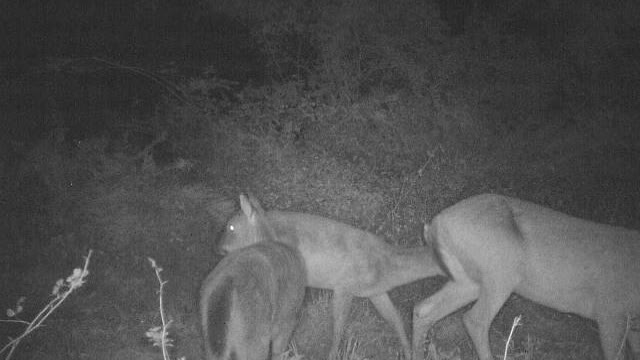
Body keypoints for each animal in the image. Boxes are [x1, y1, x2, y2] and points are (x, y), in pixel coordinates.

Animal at [218, 194, 442, 360]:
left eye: (231, 227)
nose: (220, 248)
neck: (386, 266)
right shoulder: (344, 286)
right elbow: (338, 327)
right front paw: (332, 355)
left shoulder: (375, 292)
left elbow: (395, 319)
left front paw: (408, 352)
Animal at [410, 194, 640, 360]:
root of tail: (435, 224)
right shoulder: (610, 310)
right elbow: (615, 354)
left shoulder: (632, 322)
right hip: (502, 271)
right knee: (475, 320)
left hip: (468, 280)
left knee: (424, 309)